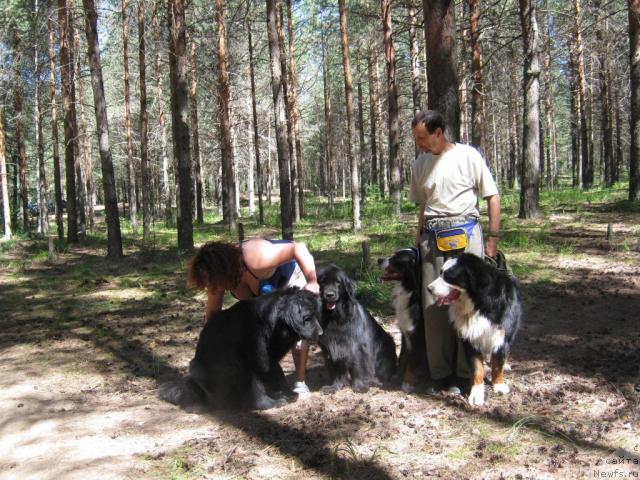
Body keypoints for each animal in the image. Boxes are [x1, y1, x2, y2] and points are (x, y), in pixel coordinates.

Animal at [158, 286, 322, 410]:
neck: (273, 325)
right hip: (198, 367)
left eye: (316, 315)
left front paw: (286, 393)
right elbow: (256, 386)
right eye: (308, 318)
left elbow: (278, 373)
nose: (321, 333)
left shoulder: (269, 358)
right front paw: (268, 404)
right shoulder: (253, 360)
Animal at [318, 262, 398, 394]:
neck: (336, 317)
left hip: (385, 346)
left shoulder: (356, 346)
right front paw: (334, 386)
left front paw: (360, 386)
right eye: (323, 282)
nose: (329, 295)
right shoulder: (331, 346)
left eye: (338, 282)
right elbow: (336, 369)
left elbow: (358, 366)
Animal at [424, 253, 520, 406]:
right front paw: (476, 393)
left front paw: (499, 385)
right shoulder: (471, 338)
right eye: (440, 273)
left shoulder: (501, 336)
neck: (478, 304)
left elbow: (498, 363)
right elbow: (477, 368)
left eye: (449, 277)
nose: (429, 288)